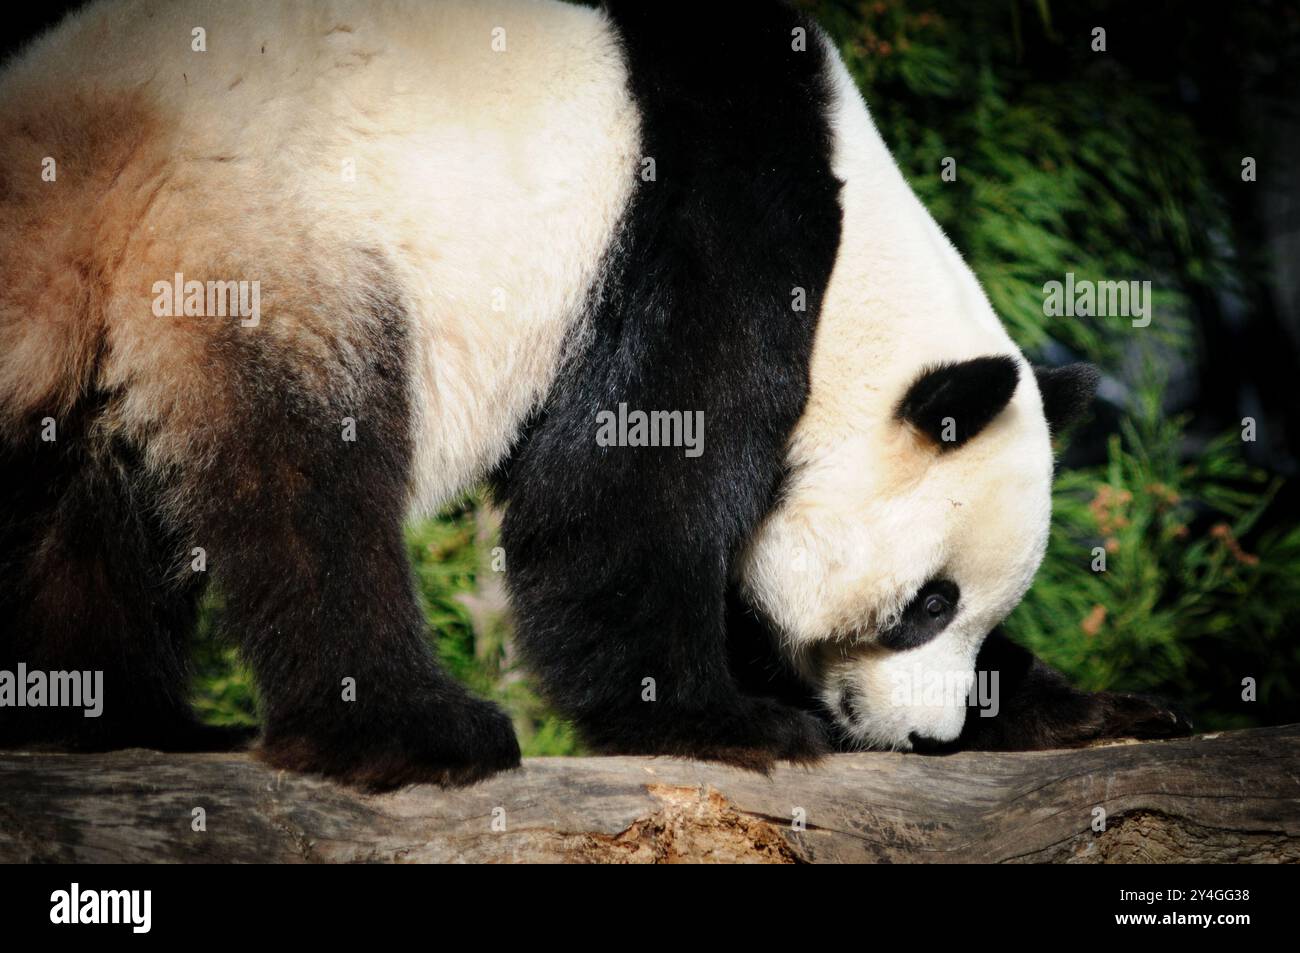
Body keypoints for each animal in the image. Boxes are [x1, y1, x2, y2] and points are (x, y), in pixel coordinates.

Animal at [0, 0, 1190, 790]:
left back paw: (106, 718)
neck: (860, 265)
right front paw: (724, 720)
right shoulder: (712, 226)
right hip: (272, 231)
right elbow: (631, 492)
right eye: (926, 604)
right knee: (308, 487)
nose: (929, 734)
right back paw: (411, 730)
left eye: (972, 613)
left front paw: (1084, 707)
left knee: (84, 500)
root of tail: (87, 145)